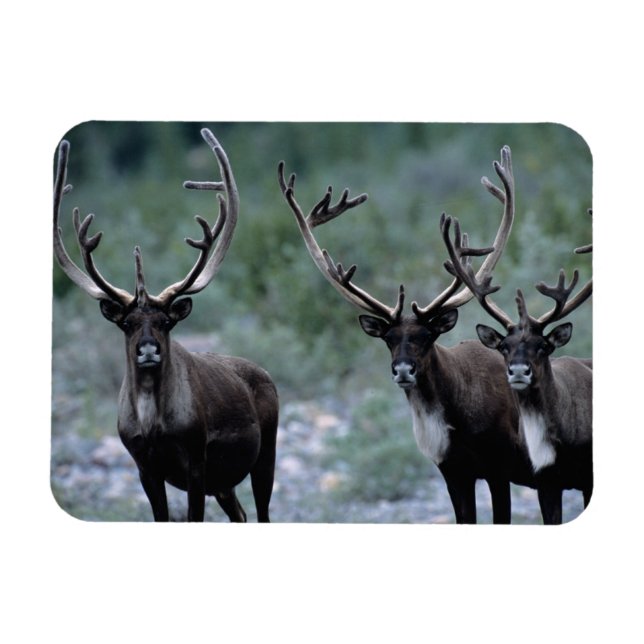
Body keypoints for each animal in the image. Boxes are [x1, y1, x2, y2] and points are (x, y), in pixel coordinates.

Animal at [53, 128, 279, 522]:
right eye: (127, 323)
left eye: (166, 321)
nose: (148, 349)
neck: (152, 421)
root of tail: (266, 375)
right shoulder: (145, 467)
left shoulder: (196, 460)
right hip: (224, 482)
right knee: (240, 514)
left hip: (263, 456)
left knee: (262, 514)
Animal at [278, 146, 537, 524]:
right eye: (387, 338)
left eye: (428, 335)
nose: (403, 369)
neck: (456, 418)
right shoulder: (454, 472)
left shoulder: (498, 467)